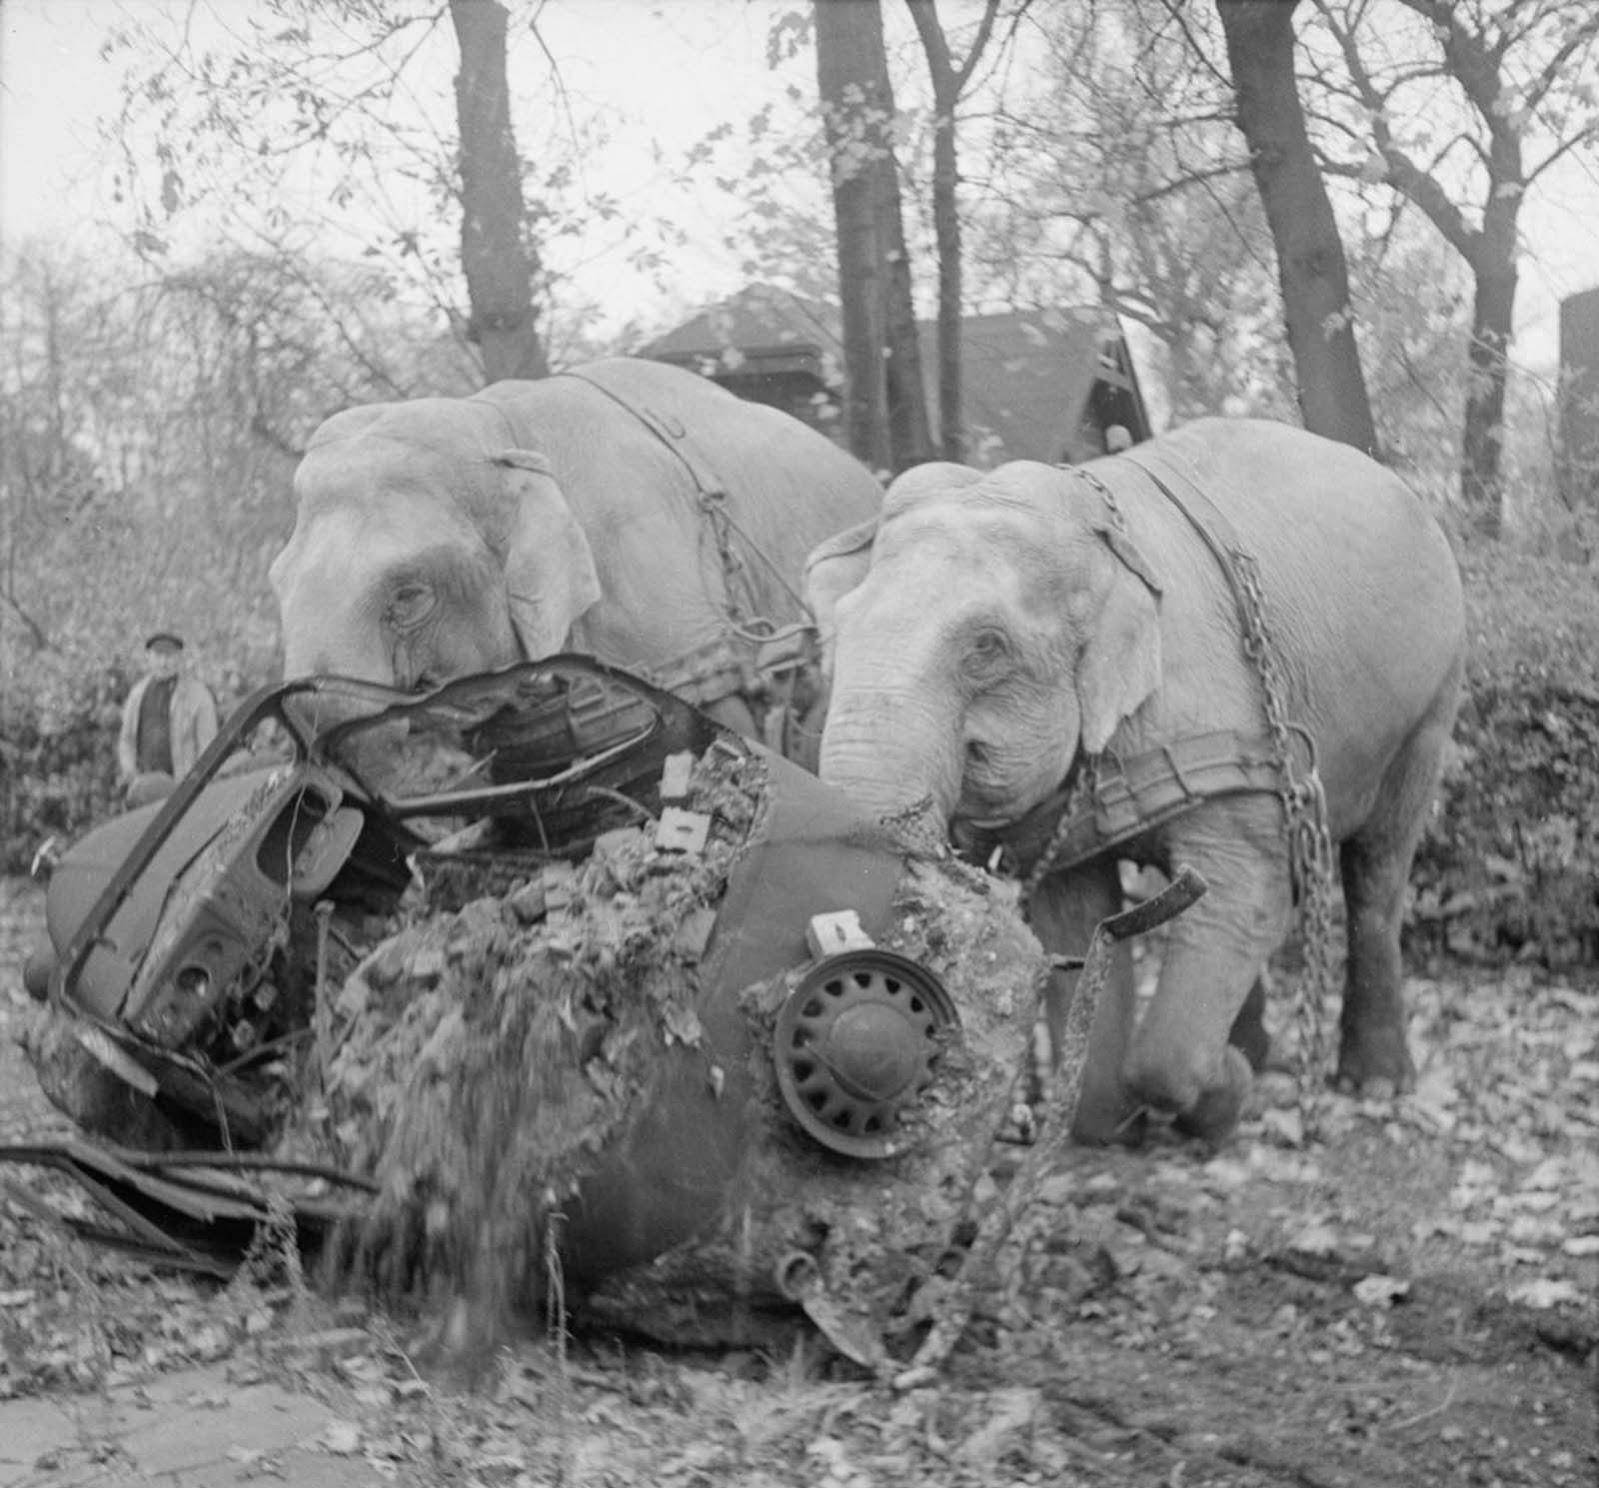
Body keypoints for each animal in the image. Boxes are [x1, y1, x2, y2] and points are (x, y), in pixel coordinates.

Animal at [805, 421, 1464, 1150]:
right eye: (835, 631)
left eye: (986, 646)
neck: (1097, 535)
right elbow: (1074, 915)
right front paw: (1116, 1121)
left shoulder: (1227, 726)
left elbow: (1244, 894)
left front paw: (1222, 1093)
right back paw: (1256, 1051)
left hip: (1431, 699)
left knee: (1378, 867)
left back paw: (1371, 1084)